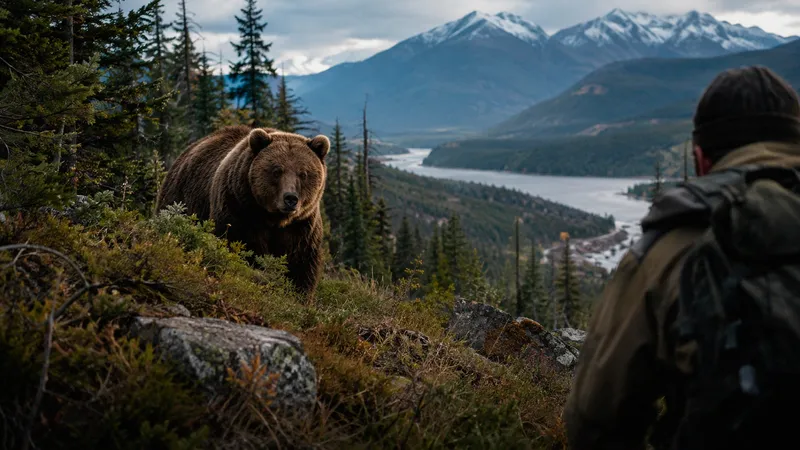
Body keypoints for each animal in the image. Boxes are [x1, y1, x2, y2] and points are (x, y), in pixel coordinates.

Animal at [156, 125, 330, 301]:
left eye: (303, 173)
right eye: (277, 171)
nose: (290, 198)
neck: (274, 218)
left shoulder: (302, 226)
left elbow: (301, 266)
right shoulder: (238, 210)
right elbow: (242, 248)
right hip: (180, 198)